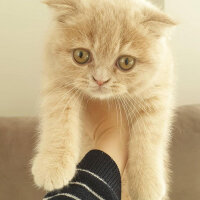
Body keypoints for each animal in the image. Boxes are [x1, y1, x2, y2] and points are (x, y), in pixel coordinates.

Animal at [30, 0, 175, 199]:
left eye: (126, 62)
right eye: (81, 55)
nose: (100, 79)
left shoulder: (157, 91)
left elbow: (148, 134)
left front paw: (146, 183)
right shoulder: (56, 79)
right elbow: (59, 118)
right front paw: (52, 165)